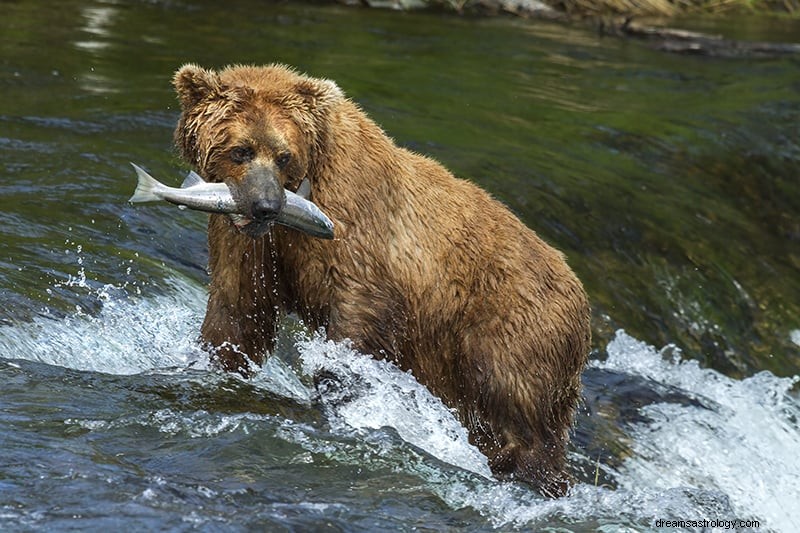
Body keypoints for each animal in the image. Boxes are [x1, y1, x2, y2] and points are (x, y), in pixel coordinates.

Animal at [172, 64, 592, 496]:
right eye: (241, 150)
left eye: (283, 155)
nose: (265, 206)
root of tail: (580, 293)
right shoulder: (250, 245)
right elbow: (239, 311)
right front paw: (210, 363)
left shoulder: (356, 224)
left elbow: (357, 314)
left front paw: (338, 389)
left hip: (512, 328)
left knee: (522, 415)